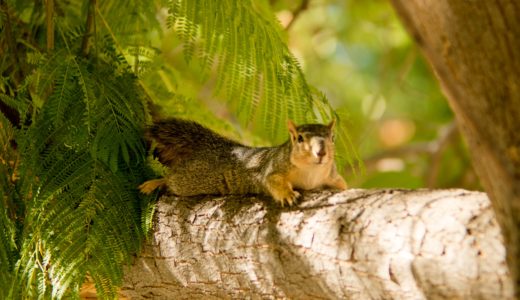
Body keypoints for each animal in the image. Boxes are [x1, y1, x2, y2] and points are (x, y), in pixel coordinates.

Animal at [140, 118, 348, 206]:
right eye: (299, 138)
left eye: (332, 137)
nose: (321, 152)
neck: (311, 171)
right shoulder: (272, 167)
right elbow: (273, 180)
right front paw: (287, 195)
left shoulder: (332, 177)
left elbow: (342, 185)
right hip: (192, 179)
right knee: (172, 179)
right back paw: (154, 183)